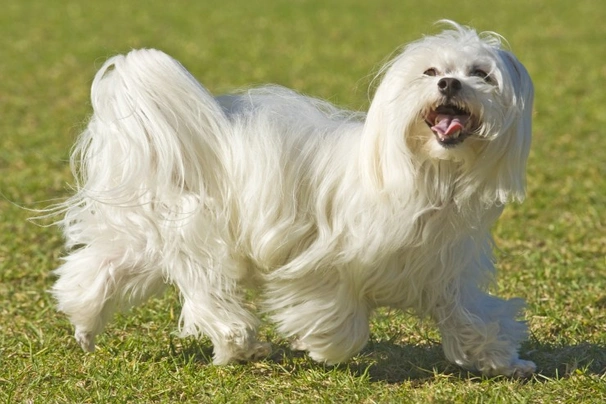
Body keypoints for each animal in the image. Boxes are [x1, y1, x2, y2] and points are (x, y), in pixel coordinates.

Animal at [52, 20, 536, 378]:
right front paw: (323, 345)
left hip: (147, 237)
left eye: (481, 74)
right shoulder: (321, 260)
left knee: (100, 267)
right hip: (195, 235)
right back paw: (238, 343)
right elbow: (336, 313)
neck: (428, 175)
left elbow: (470, 316)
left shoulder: (445, 269)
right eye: (430, 73)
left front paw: (504, 361)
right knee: (203, 290)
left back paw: (85, 326)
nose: (451, 84)